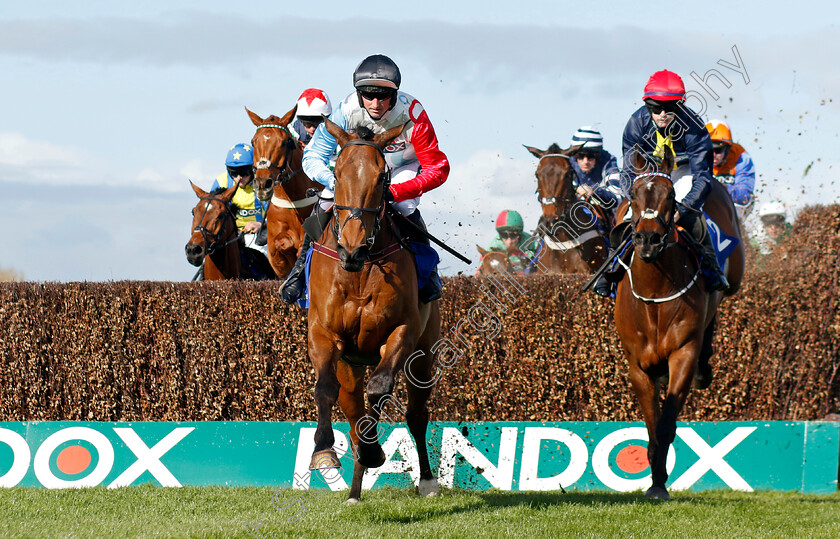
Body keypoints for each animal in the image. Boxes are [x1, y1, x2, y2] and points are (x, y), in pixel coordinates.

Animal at [248, 106, 324, 278]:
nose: (262, 184)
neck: (293, 201)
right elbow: (279, 244)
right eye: (253, 141)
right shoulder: (276, 260)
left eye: (284, 142)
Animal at [306, 120, 442, 504]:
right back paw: (353, 490)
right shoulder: (322, 333)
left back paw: (426, 481)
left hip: (424, 353)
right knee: (353, 414)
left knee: (415, 413)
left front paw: (375, 451)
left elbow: (380, 389)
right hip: (350, 365)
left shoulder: (402, 331)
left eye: (382, 177)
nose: (352, 248)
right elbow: (325, 387)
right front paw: (323, 451)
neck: (359, 270)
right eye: (336, 173)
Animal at [612, 149, 744, 502]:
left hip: (733, 279)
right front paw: (654, 477)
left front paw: (659, 483)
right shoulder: (638, 366)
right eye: (633, 195)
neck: (655, 293)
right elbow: (651, 425)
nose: (648, 239)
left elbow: (667, 424)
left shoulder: (682, 354)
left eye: (670, 197)